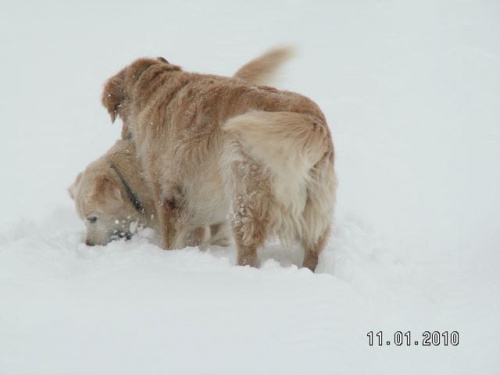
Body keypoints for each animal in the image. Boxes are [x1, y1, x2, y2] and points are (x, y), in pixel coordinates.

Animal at [101, 50, 336, 272]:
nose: (124, 139)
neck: (157, 85)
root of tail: (312, 120)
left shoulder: (168, 193)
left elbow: (170, 239)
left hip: (245, 195)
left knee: (248, 251)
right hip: (315, 211)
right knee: (313, 249)